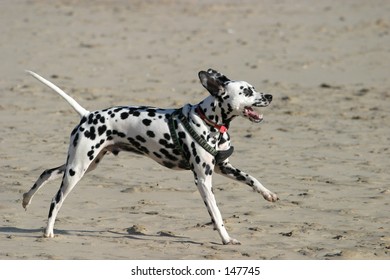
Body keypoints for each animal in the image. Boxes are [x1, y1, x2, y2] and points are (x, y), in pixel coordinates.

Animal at [22, 69, 278, 244]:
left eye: (254, 88)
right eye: (247, 91)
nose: (270, 96)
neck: (208, 121)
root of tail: (88, 115)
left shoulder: (222, 167)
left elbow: (252, 178)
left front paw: (268, 194)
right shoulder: (203, 180)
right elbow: (216, 213)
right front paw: (226, 239)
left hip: (84, 164)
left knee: (46, 172)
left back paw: (26, 199)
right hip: (77, 169)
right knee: (56, 199)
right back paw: (48, 231)